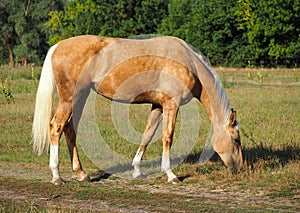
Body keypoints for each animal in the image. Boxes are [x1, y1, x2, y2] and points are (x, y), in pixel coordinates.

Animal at [32, 35, 244, 185]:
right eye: (236, 139)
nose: (240, 169)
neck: (189, 63)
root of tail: (57, 46)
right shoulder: (171, 104)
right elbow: (167, 137)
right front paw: (171, 174)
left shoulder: (158, 106)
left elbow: (147, 135)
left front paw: (137, 171)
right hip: (70, 98)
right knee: (57, 127)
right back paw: (57, 176)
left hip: (80, 97)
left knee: (70, 129)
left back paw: (82, 174)